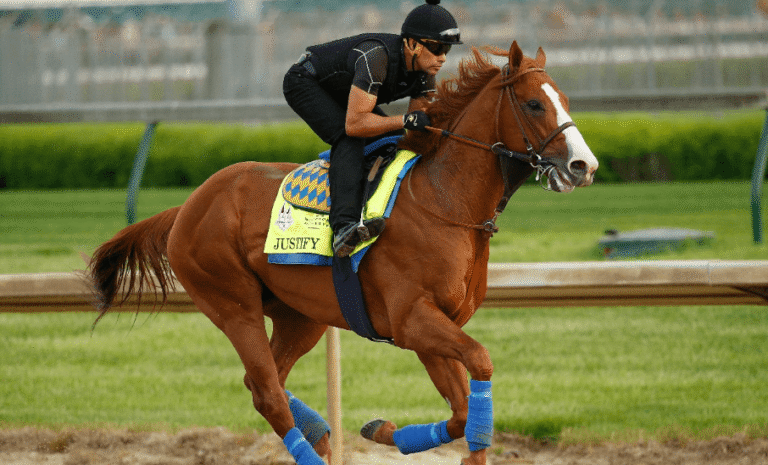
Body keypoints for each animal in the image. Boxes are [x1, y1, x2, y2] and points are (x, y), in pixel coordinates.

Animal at [88, 41, 598, 465]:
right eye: (534, 103)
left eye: (565, 101)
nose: (584, 166)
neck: (443, 201)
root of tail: (188, 205)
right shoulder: (414, 320)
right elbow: (481, 362)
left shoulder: (432, 327)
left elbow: (459, 412)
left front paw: (383, 430)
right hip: (233, 304)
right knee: (267, 391)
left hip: (299, 315)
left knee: (265, 382)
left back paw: (318, 433)